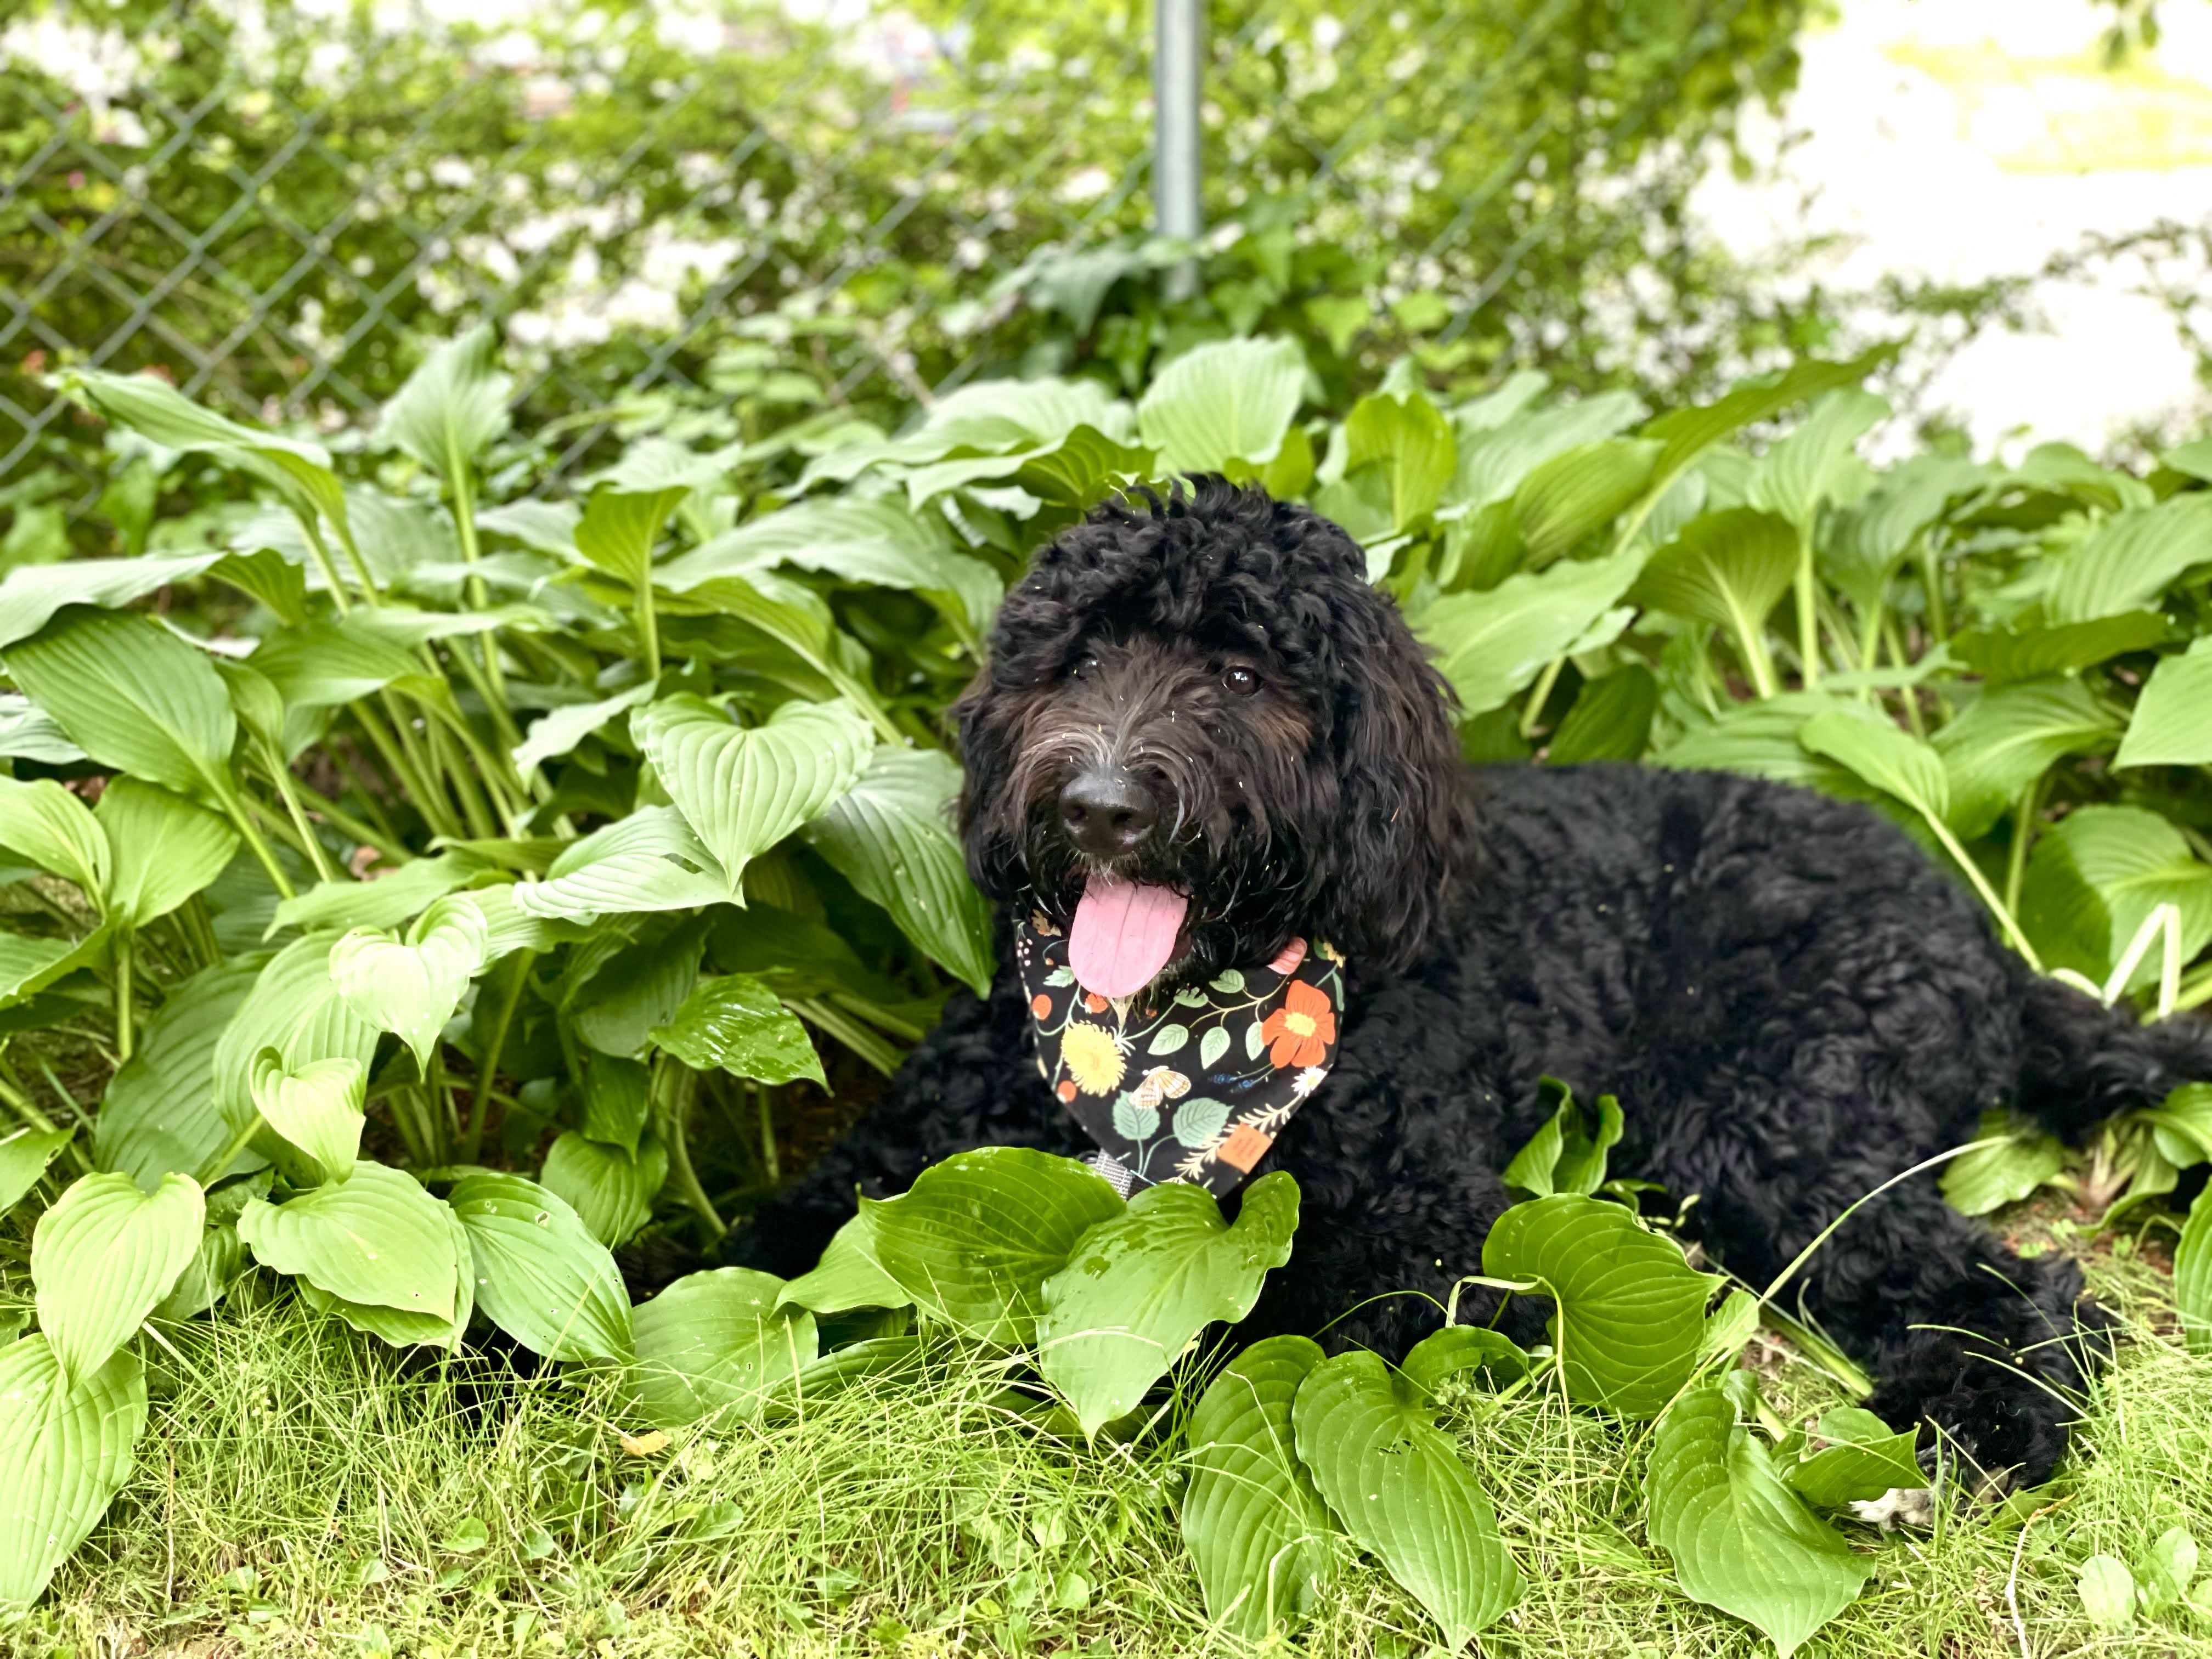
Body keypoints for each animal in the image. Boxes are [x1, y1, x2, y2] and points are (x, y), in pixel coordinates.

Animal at [738, 473, 2212, 1486]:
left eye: (1242, 673)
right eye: (1082, 656)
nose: (1102, 807)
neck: (1156, 1045)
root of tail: (1980, 938)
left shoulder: (1442, 1231)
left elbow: (1225, 1324)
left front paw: (1067, 1378)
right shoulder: (894, 1166)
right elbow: (765, 1247)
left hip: (1773, 1122)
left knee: (2017, 1292)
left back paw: (1981, 1427)